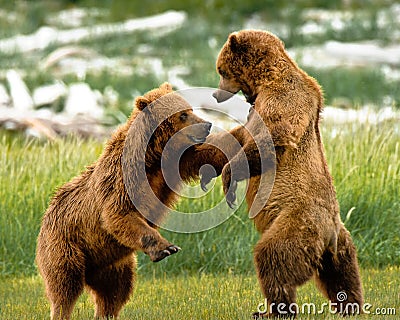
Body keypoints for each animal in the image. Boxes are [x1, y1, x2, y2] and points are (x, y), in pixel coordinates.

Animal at [36, 83, 212, 320]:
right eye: (183, 114)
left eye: (189, 109)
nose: (207, 125)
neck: (151, 156)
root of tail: (46, 214)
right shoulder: (121, 177)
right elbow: (119, 214)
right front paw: (167, 248)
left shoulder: (169, 165)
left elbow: (200, 157)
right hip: (66, 245)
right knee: (65, 284)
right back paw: (62, 310)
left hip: (113, 264)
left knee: (115, 291)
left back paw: (106, 313)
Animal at [202, 30, 364, 318]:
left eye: (221, 69)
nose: (215, 94)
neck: (266, 79)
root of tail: (330, 234)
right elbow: (240, 136)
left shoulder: (283, 97)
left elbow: (273, 136)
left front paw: (229, 182)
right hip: (341, 249)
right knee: (344, 277)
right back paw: (352, 306)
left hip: (298, 223)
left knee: (274, 258)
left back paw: (272, 310)